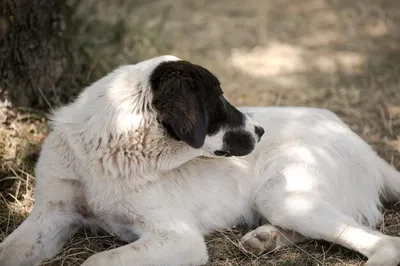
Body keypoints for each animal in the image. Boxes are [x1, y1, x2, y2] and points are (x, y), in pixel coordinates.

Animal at [0, 55, 400, 264]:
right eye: (218, 101)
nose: (261, 130)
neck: (105, 153)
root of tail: (359, 140)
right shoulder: (51, 215)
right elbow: (10, 249)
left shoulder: (178, 237)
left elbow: (96, 260)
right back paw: (266, 238)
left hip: (283, 193)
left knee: (384, 243)